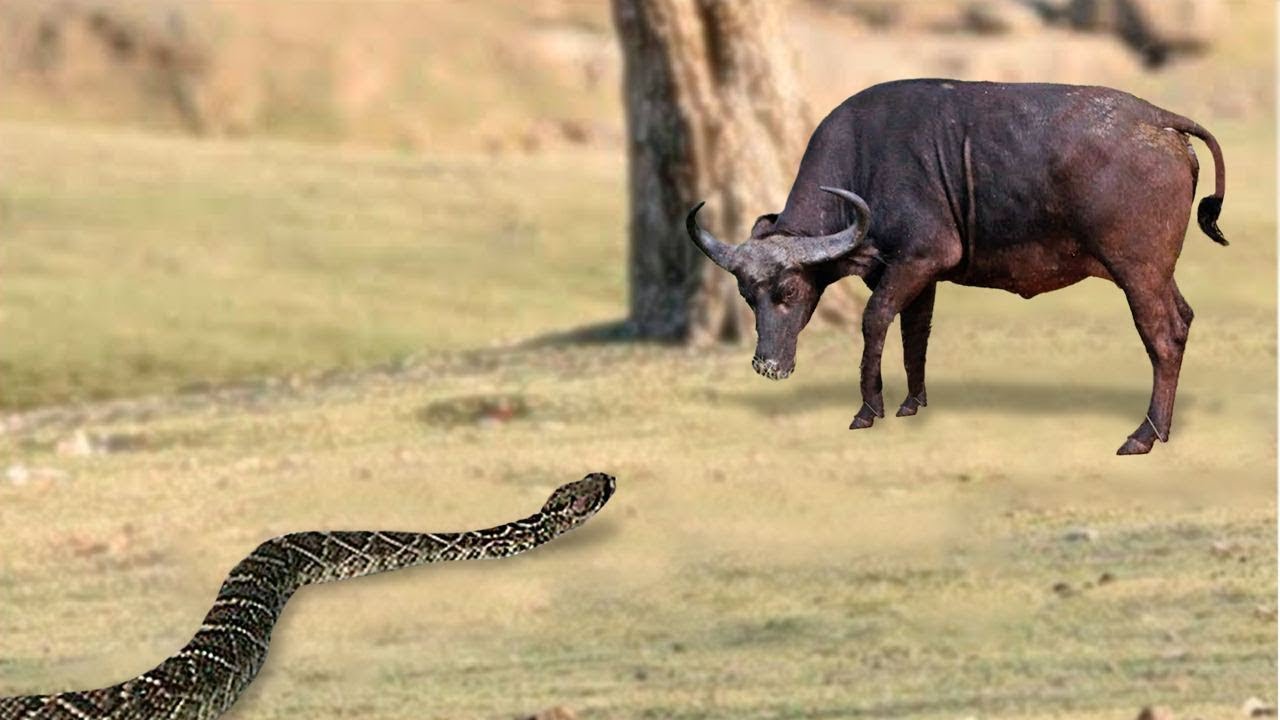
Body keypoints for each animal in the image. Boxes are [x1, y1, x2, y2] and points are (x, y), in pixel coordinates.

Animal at [685, 79, 1227, 455]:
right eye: (747, 296)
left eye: (790, 293)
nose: (767, 365)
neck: (864, 162)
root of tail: (1158, 119)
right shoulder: (917, 276)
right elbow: (915, 334)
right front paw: (911, 404)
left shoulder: (918, 260)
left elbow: (874, 321)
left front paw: (869, 409)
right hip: (1158, 274)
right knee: (1185, 318)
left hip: (1137, 273)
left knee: (1164, 335)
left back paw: (1144, 436)